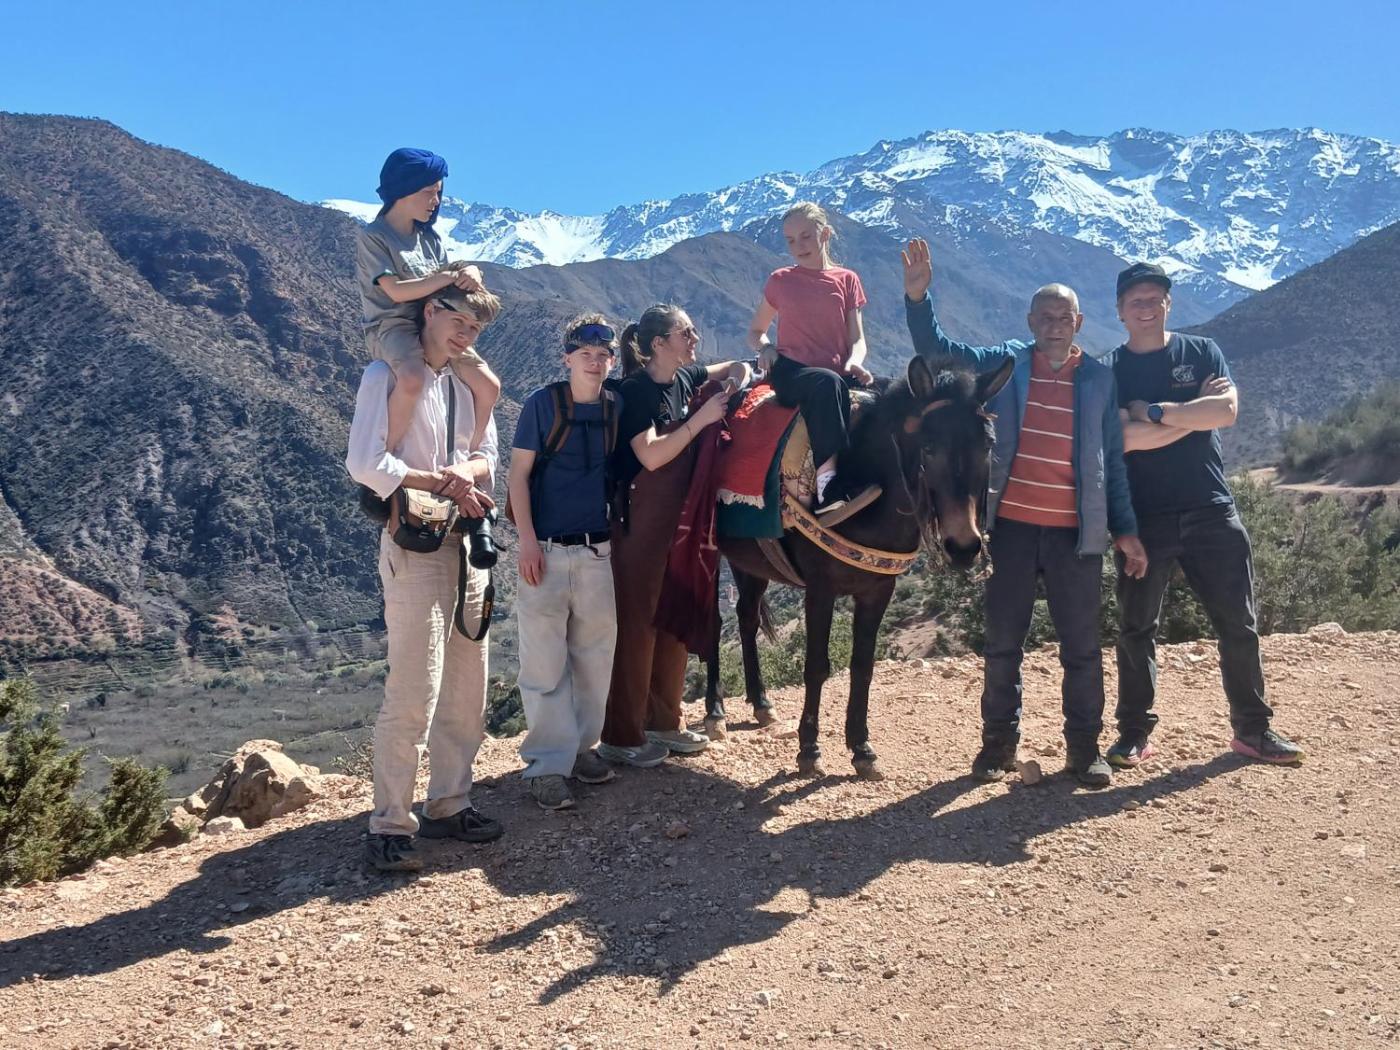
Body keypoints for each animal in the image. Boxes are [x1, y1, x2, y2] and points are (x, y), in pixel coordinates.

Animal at [717, 353, 1013, 779]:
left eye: (987, 444)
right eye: (928, 446)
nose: (963, 547)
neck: (863, 484)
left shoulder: (877, 590)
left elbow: (862, 665)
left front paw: (861, 747)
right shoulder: (820, 590)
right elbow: (817, 665)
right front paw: (809, 749)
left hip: (749, 564)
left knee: (745, 618)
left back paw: (761, 703)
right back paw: (715, 713)